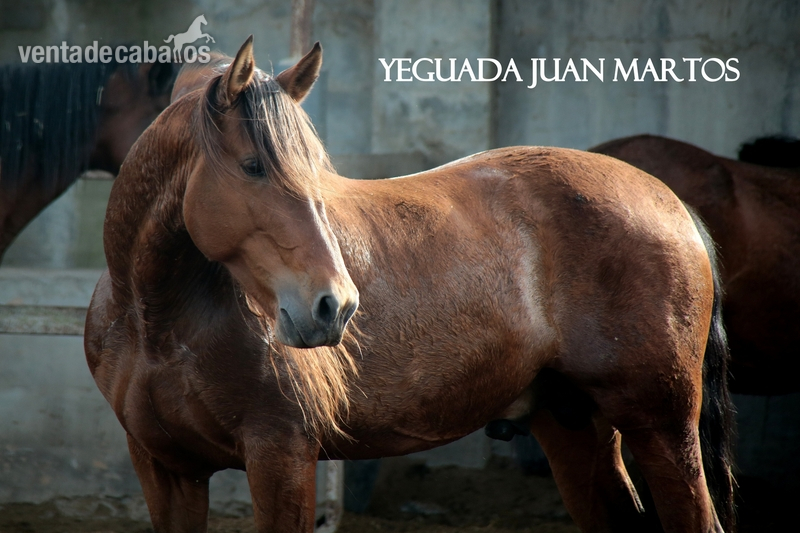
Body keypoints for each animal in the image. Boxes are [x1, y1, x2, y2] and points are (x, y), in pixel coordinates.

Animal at [85, 37, 735, 532]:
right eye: (253, 167)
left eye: (314, 170)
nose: (335, 306)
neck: (156, 321)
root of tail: (670, 202)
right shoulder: (164, 469)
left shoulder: (281, 455)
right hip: (573, 424)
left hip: (663, 428)